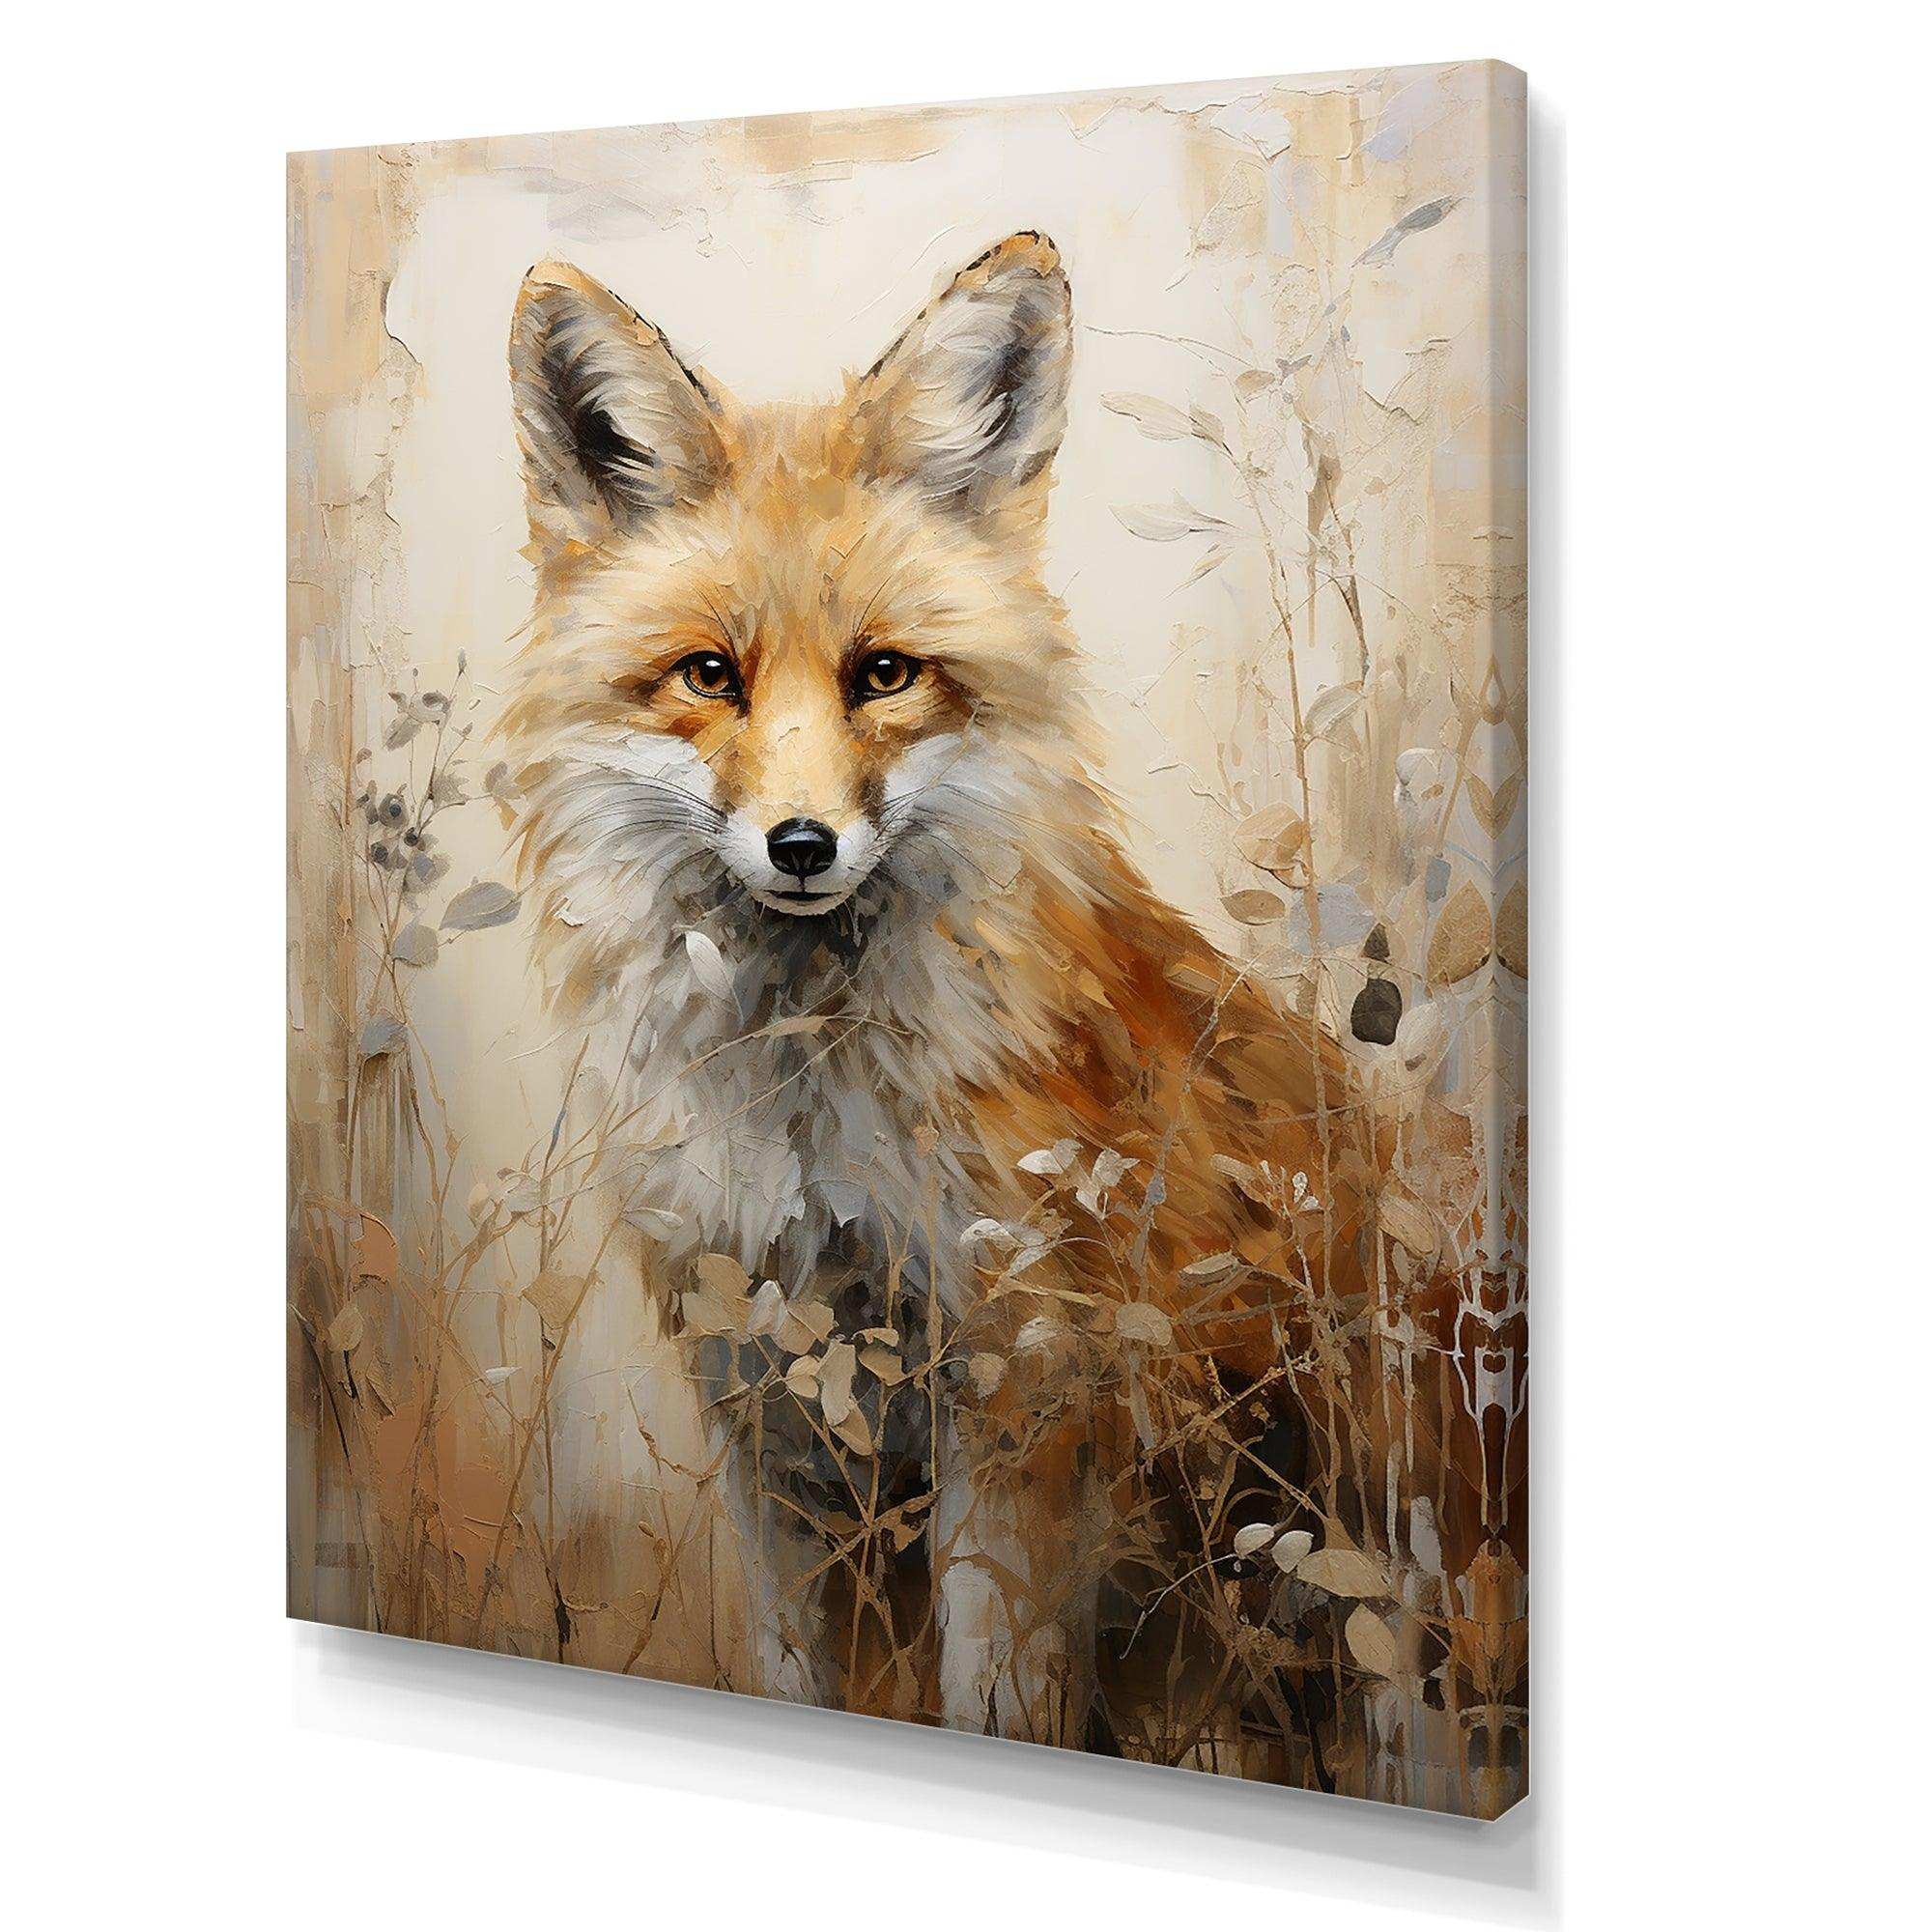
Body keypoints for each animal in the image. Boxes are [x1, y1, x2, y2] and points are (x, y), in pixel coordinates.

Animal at [500, 233, 1403, 1747]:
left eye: (884, 674)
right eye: (709, 674)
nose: (802, 845)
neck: (810, 1116)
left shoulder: (1019, 1385)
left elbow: (998, 1693)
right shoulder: (763, 1397)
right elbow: (793, 1667)